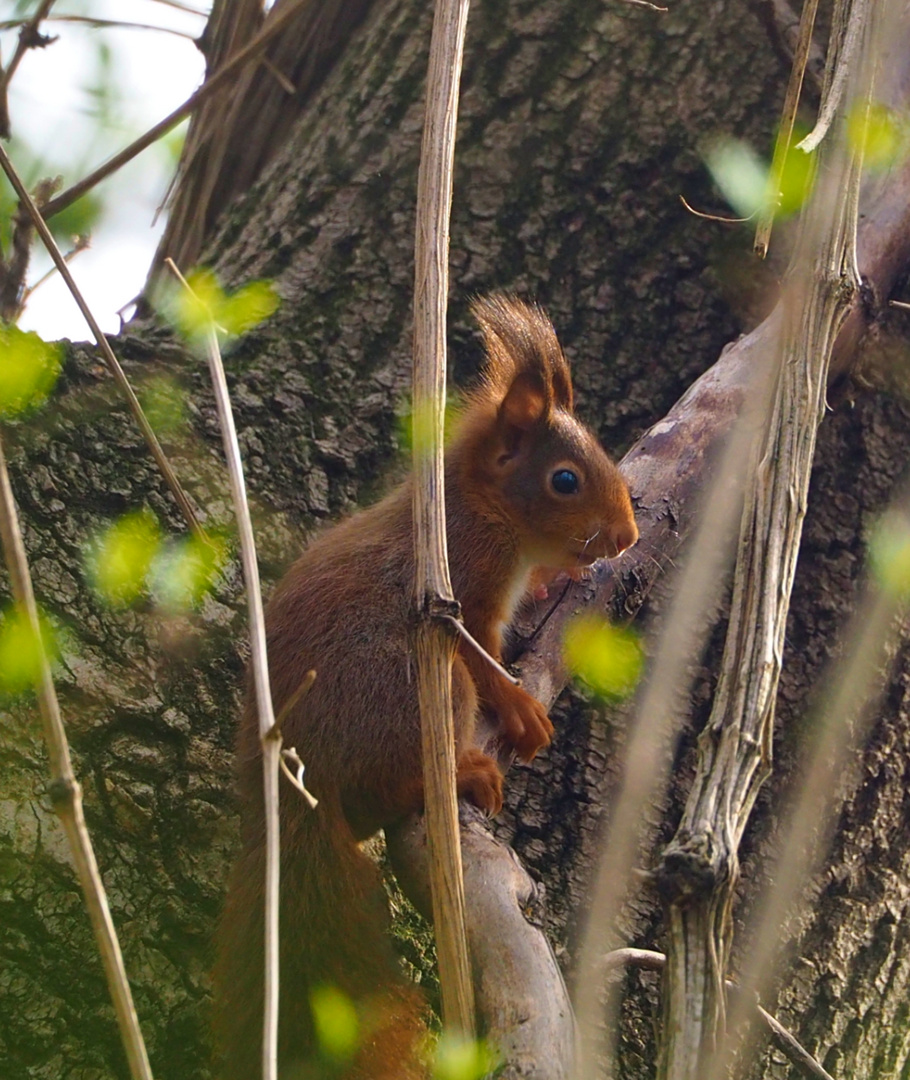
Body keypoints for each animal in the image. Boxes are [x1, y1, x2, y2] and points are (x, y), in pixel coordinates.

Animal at [213, 295, 639, 1080]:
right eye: (565, 480)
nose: (625, 536)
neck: (477, 503)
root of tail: (297, 789)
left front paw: (554, 581)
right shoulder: (461, 585)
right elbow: (484, 661)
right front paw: (521, 707)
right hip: (408, 689)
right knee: (394, 781)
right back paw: (460, 772)